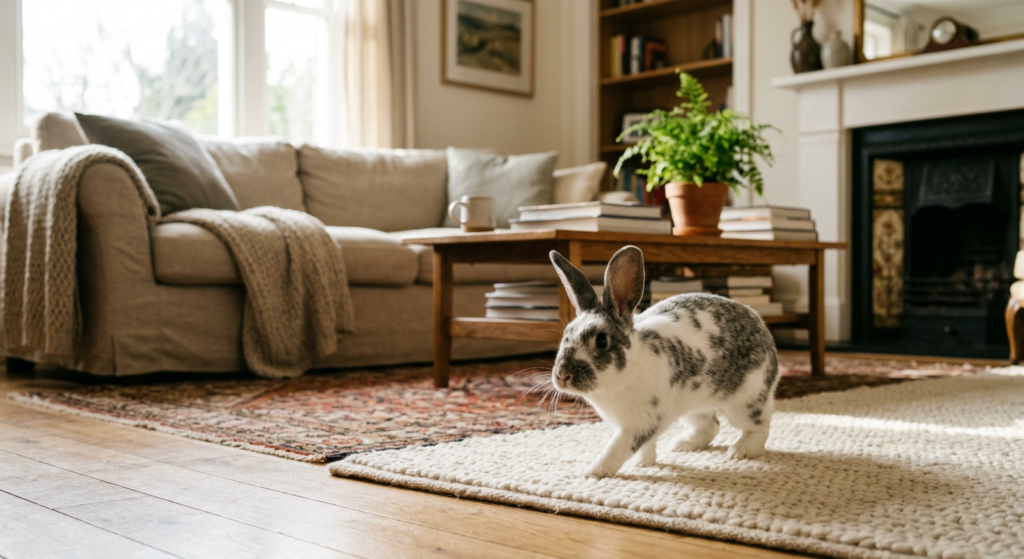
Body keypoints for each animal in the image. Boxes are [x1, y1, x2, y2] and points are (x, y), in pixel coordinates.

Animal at [549, 245, 780, 478]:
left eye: (601, 341)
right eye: (565, 335)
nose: (562, 376)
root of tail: (764, 331)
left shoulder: (640, 424)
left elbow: (617, 448)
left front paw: (593, 472)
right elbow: (645, 446)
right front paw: (643, 464)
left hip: (745, 403)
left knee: (761, 427)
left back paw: (741, 450)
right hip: (693, 407)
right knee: (711, 425)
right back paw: (682, 444)